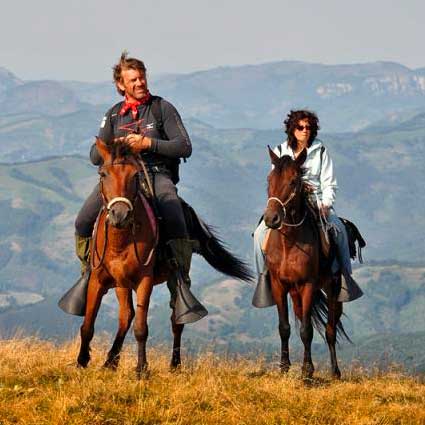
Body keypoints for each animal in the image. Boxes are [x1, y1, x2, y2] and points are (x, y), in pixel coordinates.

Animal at [76, 137, 250, 376]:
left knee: (176, 319)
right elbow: (88, 323)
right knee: (125, 317)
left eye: (135, 175)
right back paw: (110, 361)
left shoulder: (145, 281)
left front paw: (141, 368)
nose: (120, 215)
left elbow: (141, 327)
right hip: (122, 284)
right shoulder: (98, 279)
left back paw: (174, 364)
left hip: (174, 277)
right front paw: (81, 361)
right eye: (103, 174)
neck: (120, 241)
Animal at [264, 147, 346, 380]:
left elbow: (307, 331)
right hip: (295, 294)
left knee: (330, 329)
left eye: (293, 181)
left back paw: (335, 371)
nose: (271, 218)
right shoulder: (279, 285)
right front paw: (284, 366)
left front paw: (307, 370)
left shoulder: (308, 285)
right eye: (269, 179)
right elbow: (285, 327)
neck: (289, 243)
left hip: (332, 288)